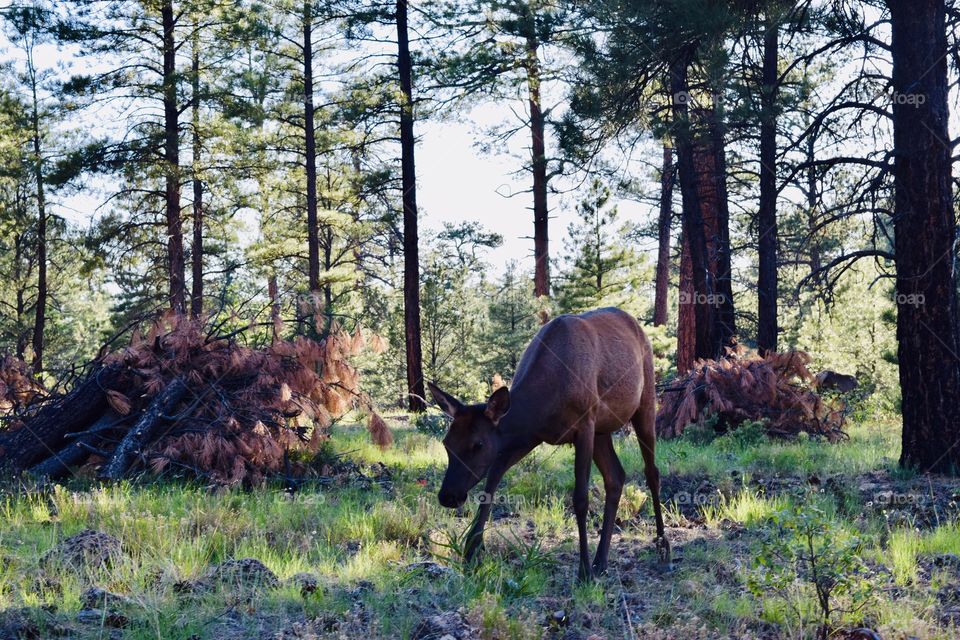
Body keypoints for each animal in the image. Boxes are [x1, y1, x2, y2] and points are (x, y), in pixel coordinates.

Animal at [427, 307, 670, 582]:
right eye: (446, 443)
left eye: (477, 444)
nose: (448, 495)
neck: (543, 402)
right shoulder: (527, 436)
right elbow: (491, 484)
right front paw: (471, 550)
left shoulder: (584, 425)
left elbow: (580, 499)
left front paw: (583, 570)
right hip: (602, 431)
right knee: (616, 476)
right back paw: (601, 561)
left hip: (644, 401)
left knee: (652, 471)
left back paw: (662, 546)